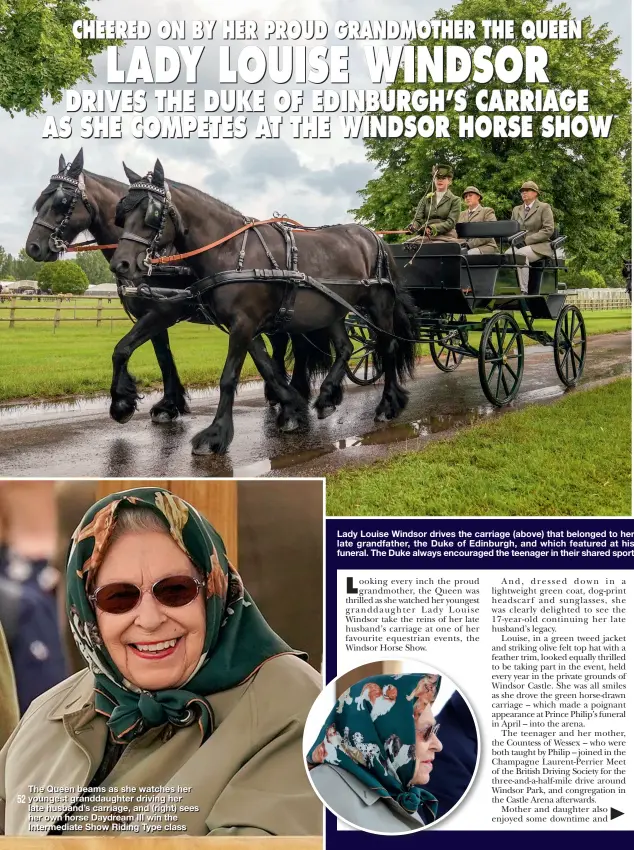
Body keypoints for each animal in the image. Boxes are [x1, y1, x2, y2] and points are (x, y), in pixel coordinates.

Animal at [108, 157, 414, 454]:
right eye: (122, 213)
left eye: (151, 213)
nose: (120, 264)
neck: (229, 251)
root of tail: (374, 237)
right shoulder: (243, 325)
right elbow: (267, 367)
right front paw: (291, 409)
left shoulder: (242, 323)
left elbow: (229, 377)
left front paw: (215, 434)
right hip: (333, 310)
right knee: (345, 348)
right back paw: (326, 397)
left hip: (379, 306)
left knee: (387, 347)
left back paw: (387, 404)